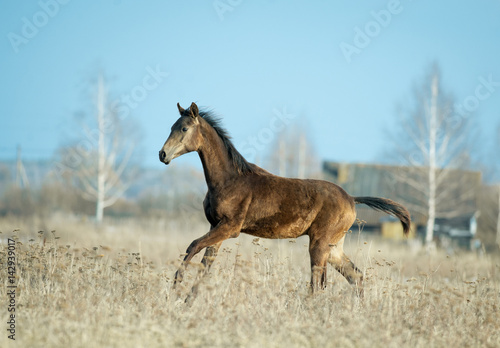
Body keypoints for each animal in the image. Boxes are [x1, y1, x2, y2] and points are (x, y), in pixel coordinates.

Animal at [160, 102, 410, 294]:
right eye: (171, 126)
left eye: (184, 128)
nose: (162, 154)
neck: (228, 180)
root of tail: (351, 198)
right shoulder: (216, 228)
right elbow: (204, 267)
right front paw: (187, 301)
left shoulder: (230, 227)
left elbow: (192, 245)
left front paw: (175, 285)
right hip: (334, 246)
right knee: (354, 276)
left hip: (319, 244)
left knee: (317, 284)